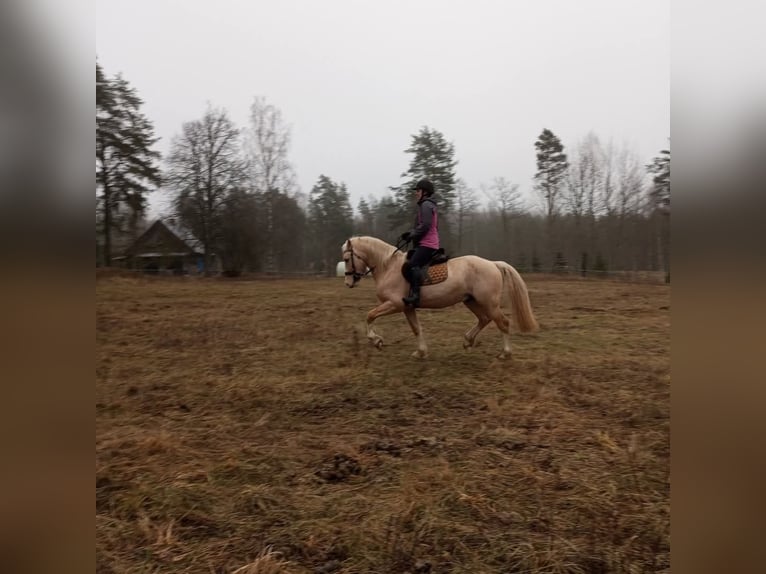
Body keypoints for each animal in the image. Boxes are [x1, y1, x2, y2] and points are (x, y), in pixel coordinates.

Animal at [342, 236, 540, 358]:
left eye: (346, 259)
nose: (348, 282)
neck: (388, 267)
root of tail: (493, 263)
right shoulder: (407, 308)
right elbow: (416, 329)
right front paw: (421, 352)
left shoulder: (395, 304)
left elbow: (370, 315)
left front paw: (376, 340)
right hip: (471, 301)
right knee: (484, 319)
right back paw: (467, 341)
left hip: (488, 303)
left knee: (503, 323)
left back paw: (505, 353)